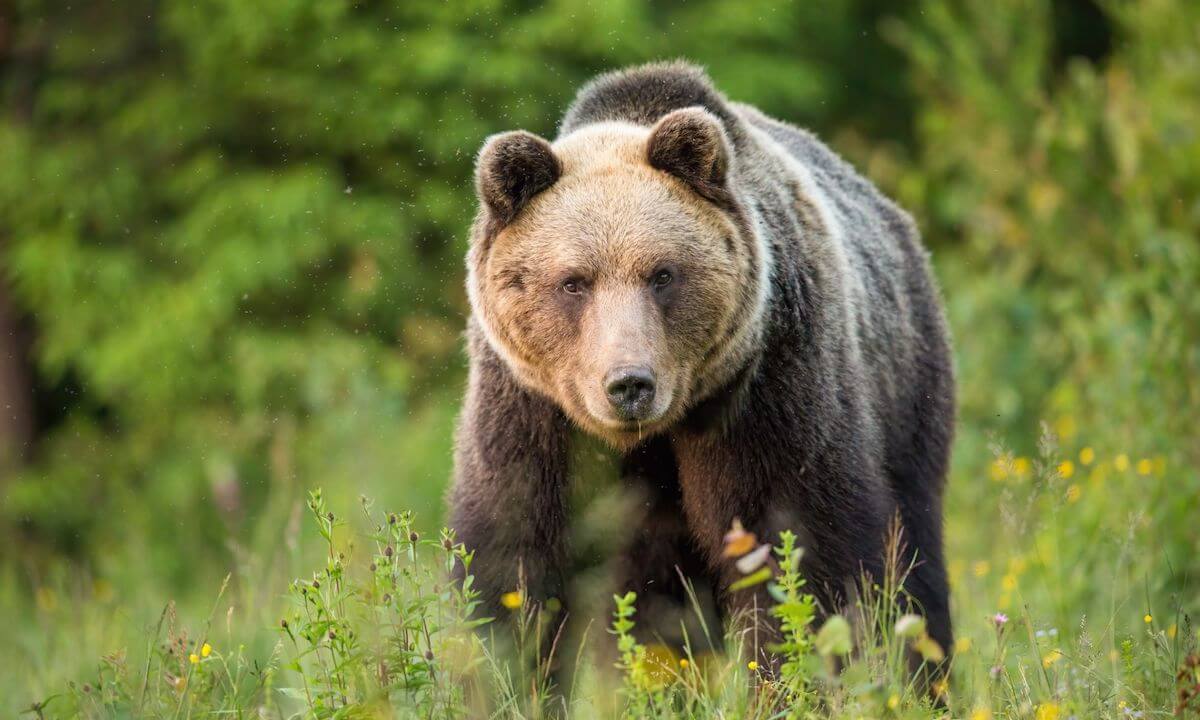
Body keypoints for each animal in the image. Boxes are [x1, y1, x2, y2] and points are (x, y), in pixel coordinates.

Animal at [449, 61, 955, 679]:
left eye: (662, 273)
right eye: (573, 281)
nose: (629, 385)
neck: (656, 432)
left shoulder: (768, 385)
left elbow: (794, 544)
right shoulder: (530, 409)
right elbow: (514, 553)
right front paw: (510, 671)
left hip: (908, 394)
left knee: (915, 557)